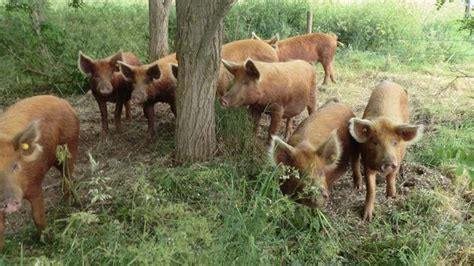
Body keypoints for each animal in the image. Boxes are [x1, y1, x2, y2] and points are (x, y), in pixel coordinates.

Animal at [0, 95, 78, 249]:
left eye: (15, 166)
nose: (9, 202)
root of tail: (61, 100)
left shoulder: (35, 184)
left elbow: (38, 216)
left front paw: (48, 242)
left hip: (69, 146)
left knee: (68, 176)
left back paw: (70, 205)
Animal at [350, 81, 424, 222]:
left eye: (394, 142)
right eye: (374, 142)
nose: (388, 162)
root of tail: (390, 82)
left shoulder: (398, 158)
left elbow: (391, 176)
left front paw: (391, 196)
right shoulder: (367, 163)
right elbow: (371, 189)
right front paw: (367, 218)